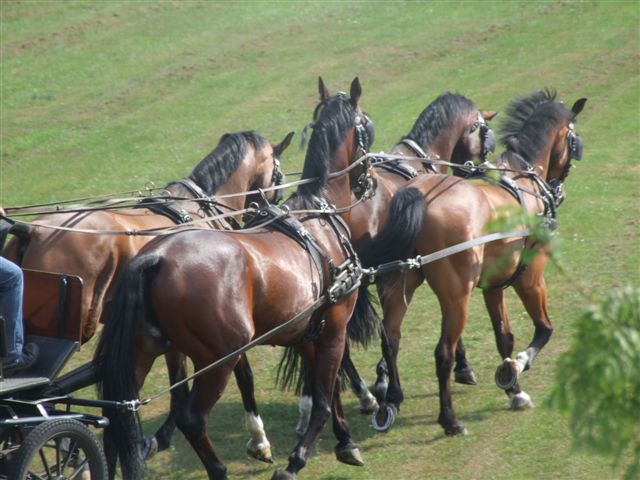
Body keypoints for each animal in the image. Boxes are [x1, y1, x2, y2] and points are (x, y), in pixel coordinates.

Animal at [1, 127, 292, 462]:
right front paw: (259, 438)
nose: (272, 207)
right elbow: (240, 374)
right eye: (278, 173)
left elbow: (178, 384)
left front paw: (159, 438)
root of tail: (30, 230)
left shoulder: (170, 334)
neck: (198, 209)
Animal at [95, 77, 380, 478]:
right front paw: (296, 458)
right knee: (192, 418)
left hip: (142, 352)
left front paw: (345, 439)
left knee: (118, 417)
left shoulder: (309, 330)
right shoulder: (336, 325)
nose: (369, 180)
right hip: (219, 357)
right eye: (367, 124)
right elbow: (324, 396)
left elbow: (329, 388)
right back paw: (218, 467)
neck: (318, 213)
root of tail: (155, 257)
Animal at [360, 90, 584, 436]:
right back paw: (449, 420)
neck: (521, 179)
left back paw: (390, 401)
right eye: (573, 141)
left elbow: (504, 336)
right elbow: (544, 329)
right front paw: (517, 367)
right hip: (457, 297)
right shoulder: (530, 278)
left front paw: (513, 388)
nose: (558, 190)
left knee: (391, 338)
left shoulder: (494, 285)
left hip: (401, 285)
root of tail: (420, 197)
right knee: (443, 353)